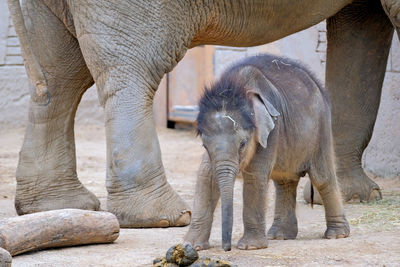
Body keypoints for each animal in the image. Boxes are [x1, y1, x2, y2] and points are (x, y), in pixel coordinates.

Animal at [7, 0, 396, 228]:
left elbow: (363, 26)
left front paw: (356, 196)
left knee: (59, 79)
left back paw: (57, 205)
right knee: (130, 69)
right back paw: (163, 217)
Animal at [184, 54, 350, 251]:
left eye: (243, 143)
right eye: (204, 145)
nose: (227, 248)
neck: (238, 85)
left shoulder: (271, 131)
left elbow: (255, 176)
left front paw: (250, 247)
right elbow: (206, 177)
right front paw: (191, 246)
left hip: (321, 129)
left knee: (322, 178)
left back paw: (337, 235)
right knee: (285, 180)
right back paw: (280, 236)